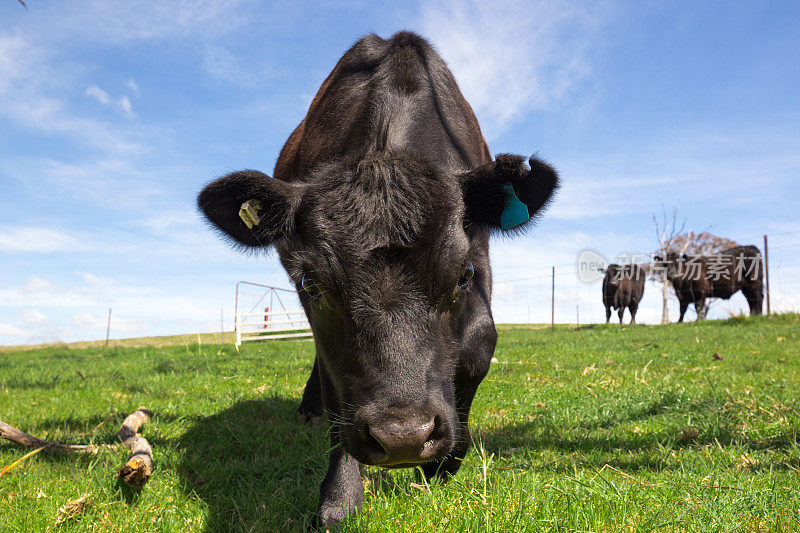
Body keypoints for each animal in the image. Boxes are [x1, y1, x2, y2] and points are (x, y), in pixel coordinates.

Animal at [195, 30, 556, 524]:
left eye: (462, 277)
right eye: (313, 284)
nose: (404, 437)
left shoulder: (481, 252)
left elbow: (479, 345)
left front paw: (447, 460)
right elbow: (336, 380)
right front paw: (341, 496)